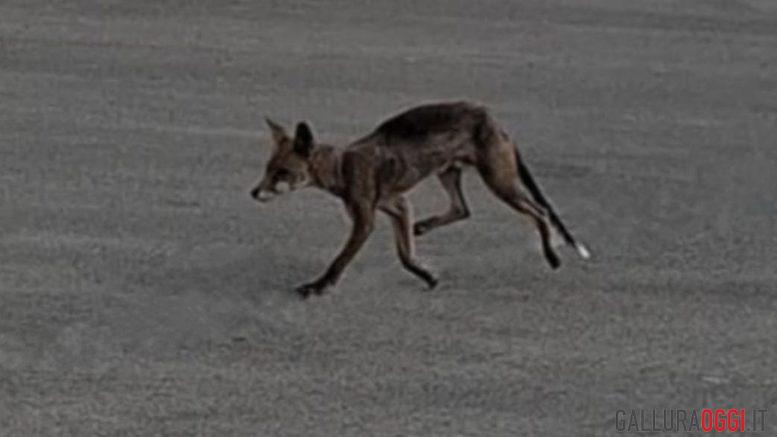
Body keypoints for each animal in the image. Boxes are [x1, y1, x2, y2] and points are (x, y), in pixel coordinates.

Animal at [250, 101, 590, 298]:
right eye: (267, 170)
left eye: (282, 173)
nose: (253, 193)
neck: (344, 166)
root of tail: (494, 119)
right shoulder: (398, 206)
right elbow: (405, 255)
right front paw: (427, 276)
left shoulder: (366, 220)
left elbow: (340, 260)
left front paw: (318, 286)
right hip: (449, 173)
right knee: (462, 209)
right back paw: (423, 227)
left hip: (499, 182)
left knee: (540, 212)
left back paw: (551, 255)